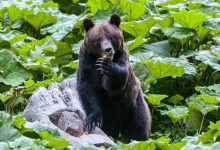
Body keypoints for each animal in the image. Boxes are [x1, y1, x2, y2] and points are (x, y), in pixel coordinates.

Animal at [76, 13, 150, 141]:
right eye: (97, 39)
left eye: (111, 36)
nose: (108, 50)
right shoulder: (86, 62)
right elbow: (87, 88)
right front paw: (92, 121)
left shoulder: (122, 55)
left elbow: (117, 80)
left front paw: (107, 66)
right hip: (111, 116)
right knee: (109, 129)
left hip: (133, 105)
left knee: (138, 126)